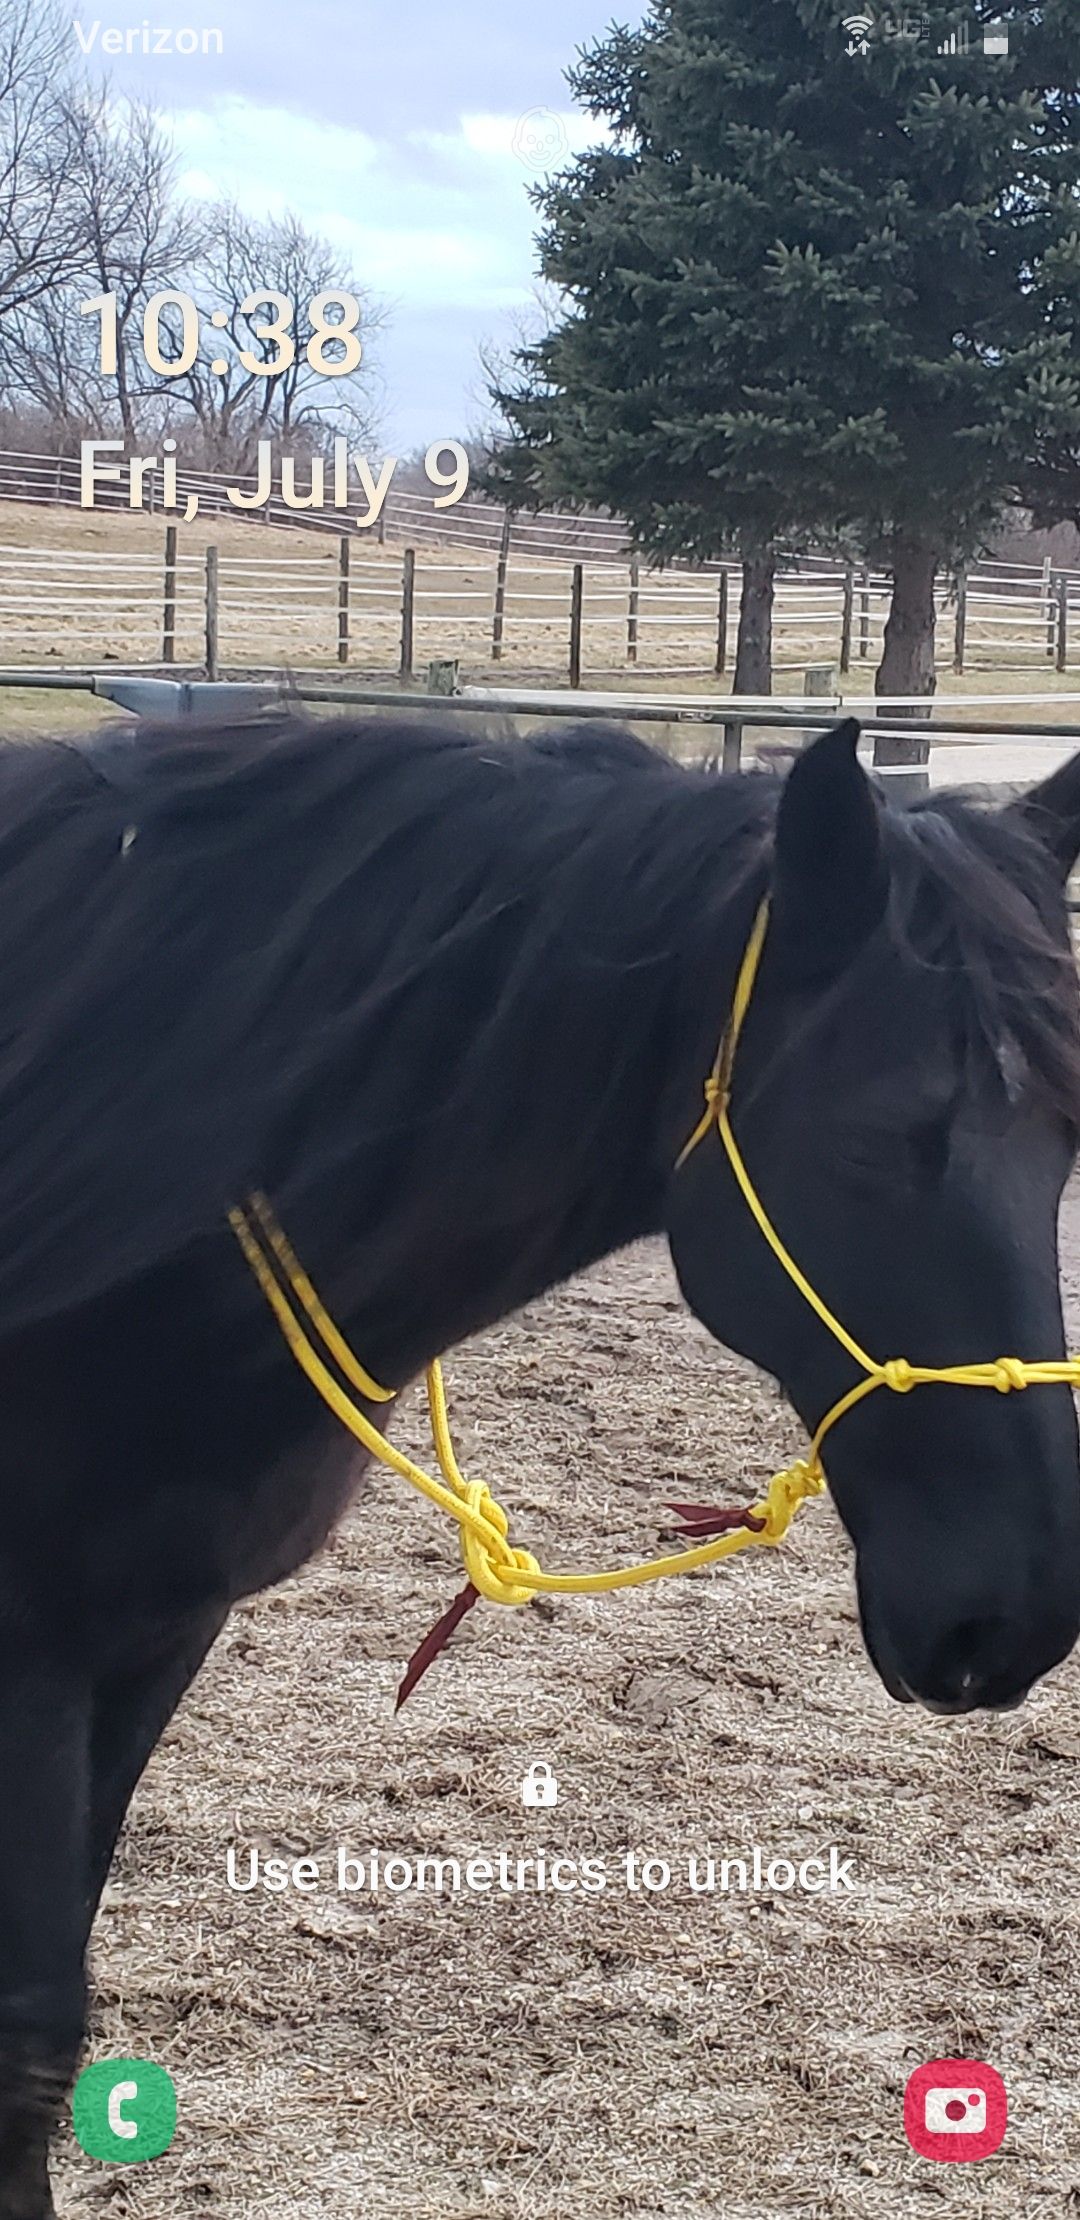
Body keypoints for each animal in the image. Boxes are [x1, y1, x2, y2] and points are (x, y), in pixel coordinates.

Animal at [2, 707, 1080, 2217]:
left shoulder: (158, 1630)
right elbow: (30, 2035)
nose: (1012, 1616)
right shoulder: (34, 1651)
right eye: (883, 1136)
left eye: (1066, 1141)